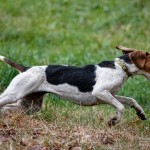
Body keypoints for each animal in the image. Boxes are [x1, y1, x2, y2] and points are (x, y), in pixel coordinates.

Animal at [0, 46, 149, 125]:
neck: (121, 67)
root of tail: (26, 69)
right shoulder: (100, 92)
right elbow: (121, 106)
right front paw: (114, 121)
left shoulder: (110, 95)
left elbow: (130, 100)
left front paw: (140, 113)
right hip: (14, 95)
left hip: (30, 106)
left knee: (7, 108)